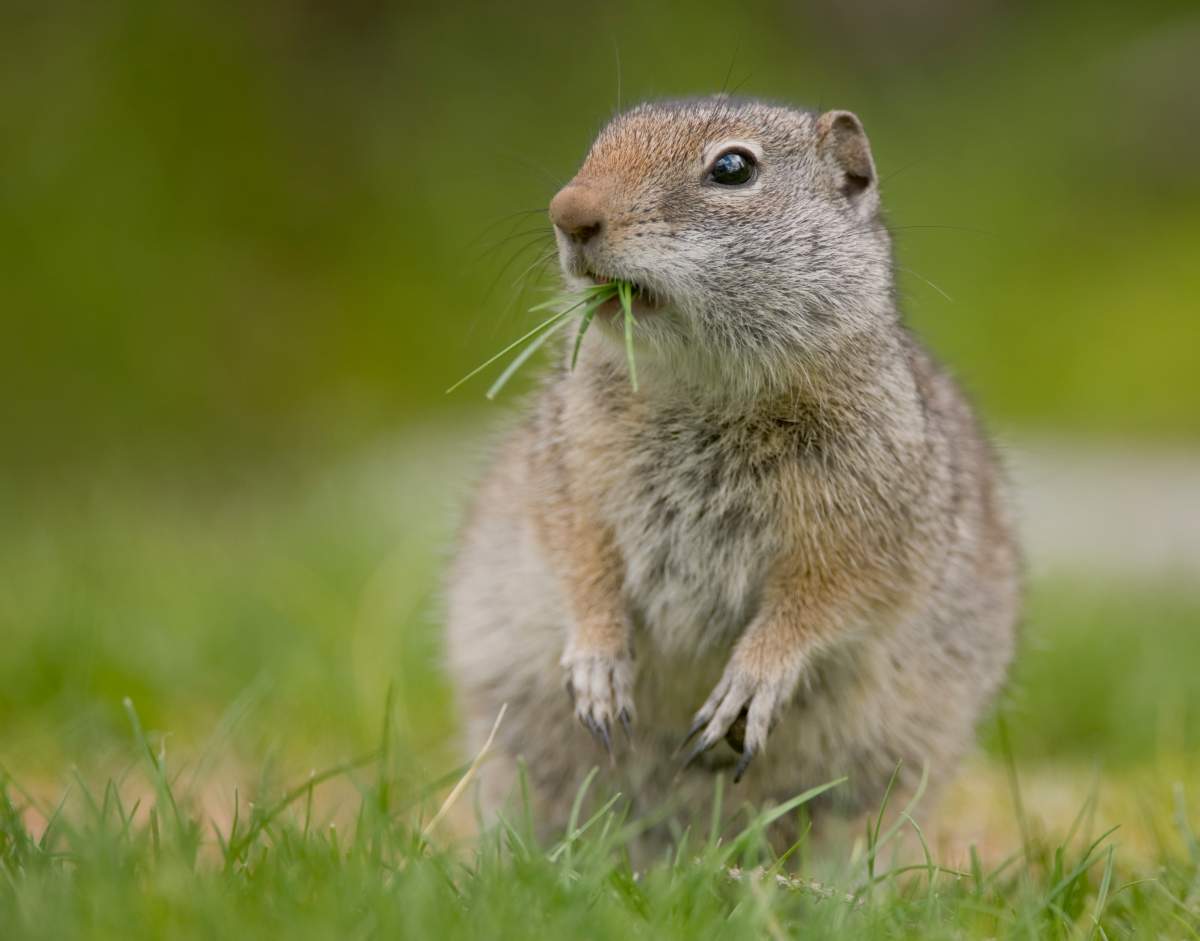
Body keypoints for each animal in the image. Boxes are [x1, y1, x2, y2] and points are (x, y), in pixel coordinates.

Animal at [445, 97, 1020, 851]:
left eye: (732, 168)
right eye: (599, 143)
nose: (567, 213)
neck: (704, 392)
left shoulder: (869, 531)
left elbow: (816, 607)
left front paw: (747, 688)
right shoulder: (566, 471)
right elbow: (578, 558)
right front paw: (598, 665)